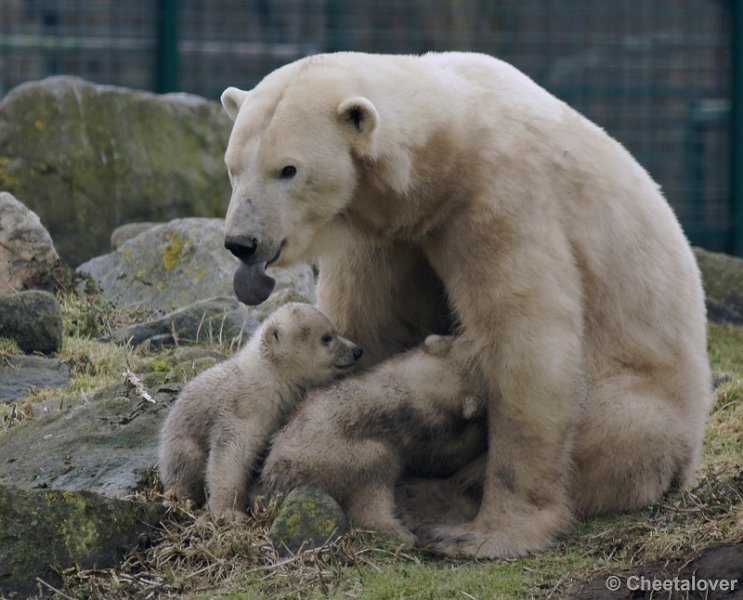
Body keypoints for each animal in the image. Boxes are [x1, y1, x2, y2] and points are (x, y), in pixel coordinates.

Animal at [218, 51, 712, 556]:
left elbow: (528, 346)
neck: (449, 139)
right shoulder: (386, 234)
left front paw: (490, 533)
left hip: (652, 400)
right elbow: (370, 321)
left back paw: (434, 502)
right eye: (233, 166)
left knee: (615, 426)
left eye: (288, 169)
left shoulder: (501, 199)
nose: (242, 243)